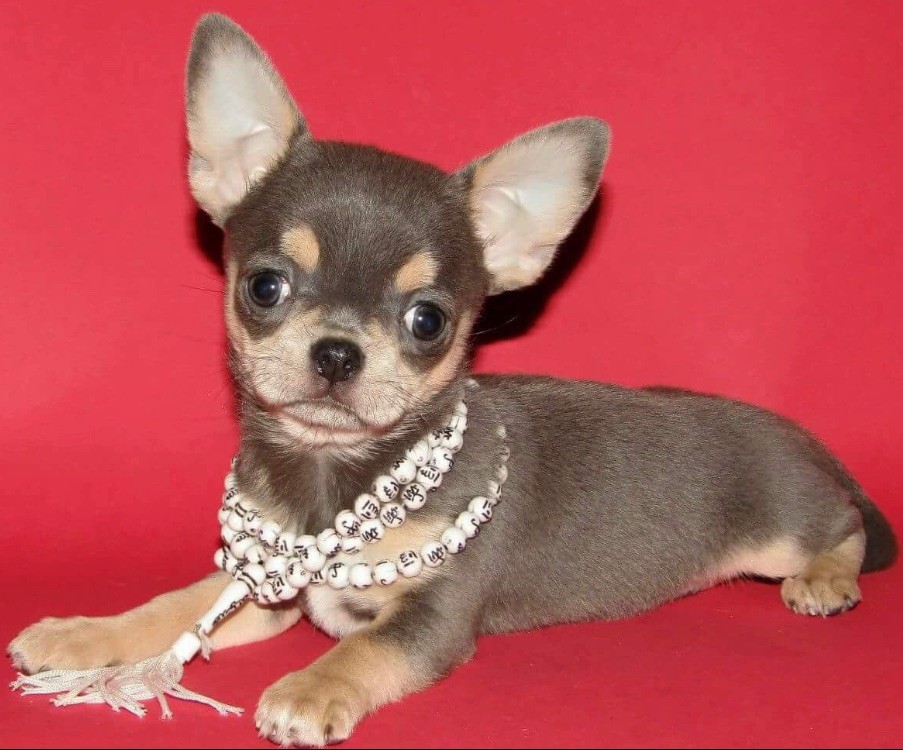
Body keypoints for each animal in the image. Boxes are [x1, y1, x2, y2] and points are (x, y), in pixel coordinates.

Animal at [9, 12, 897, 747]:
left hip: (781, 534)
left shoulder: (433, 615)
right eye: (264, 286)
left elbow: (368, 647)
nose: (337, 353)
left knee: (844, 527)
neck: (332, 480)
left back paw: (825, 582)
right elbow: (177, 604)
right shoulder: (267, 588)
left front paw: (308, 688)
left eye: (427, 321)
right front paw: (83, 634)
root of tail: (800, 438)